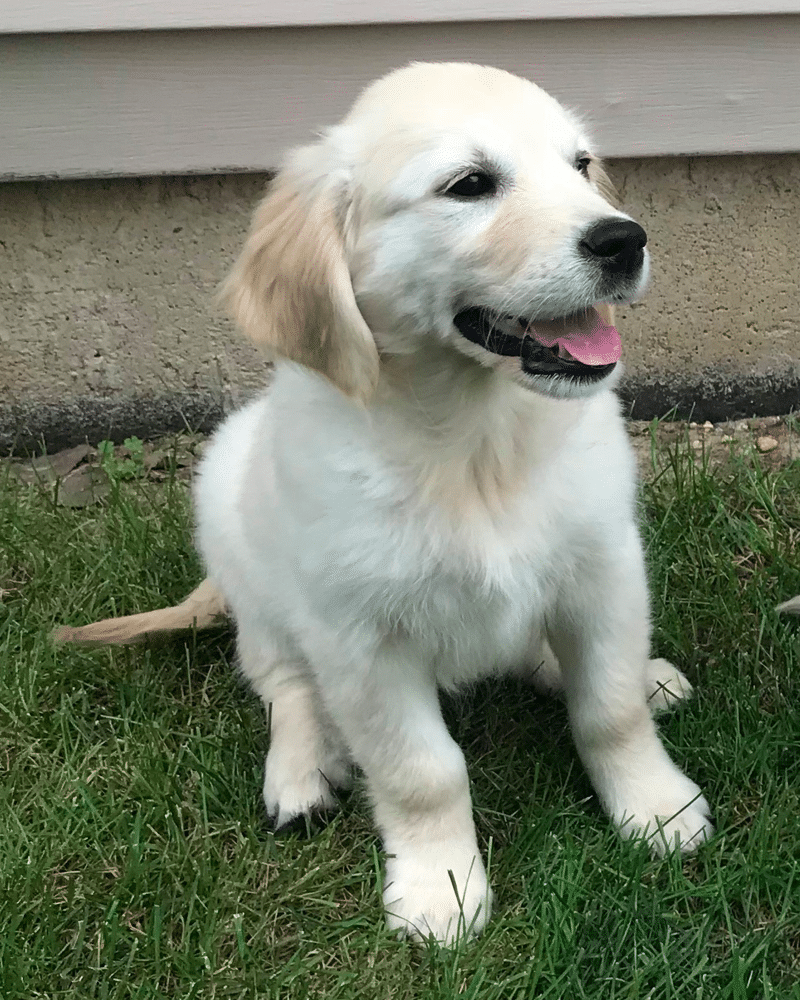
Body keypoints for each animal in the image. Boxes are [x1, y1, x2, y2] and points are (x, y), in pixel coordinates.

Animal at [64, 64, 712, 944]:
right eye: (468, 185)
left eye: (579, 165)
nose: (624, 239)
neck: (474, 440)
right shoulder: (362, 637)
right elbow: (421, 771)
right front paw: (442, 889)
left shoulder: (605, 568)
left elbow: (606, 708)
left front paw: (656, 808)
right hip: (238, 531)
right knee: (282, 681)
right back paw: (302, 771)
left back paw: (627, 674)